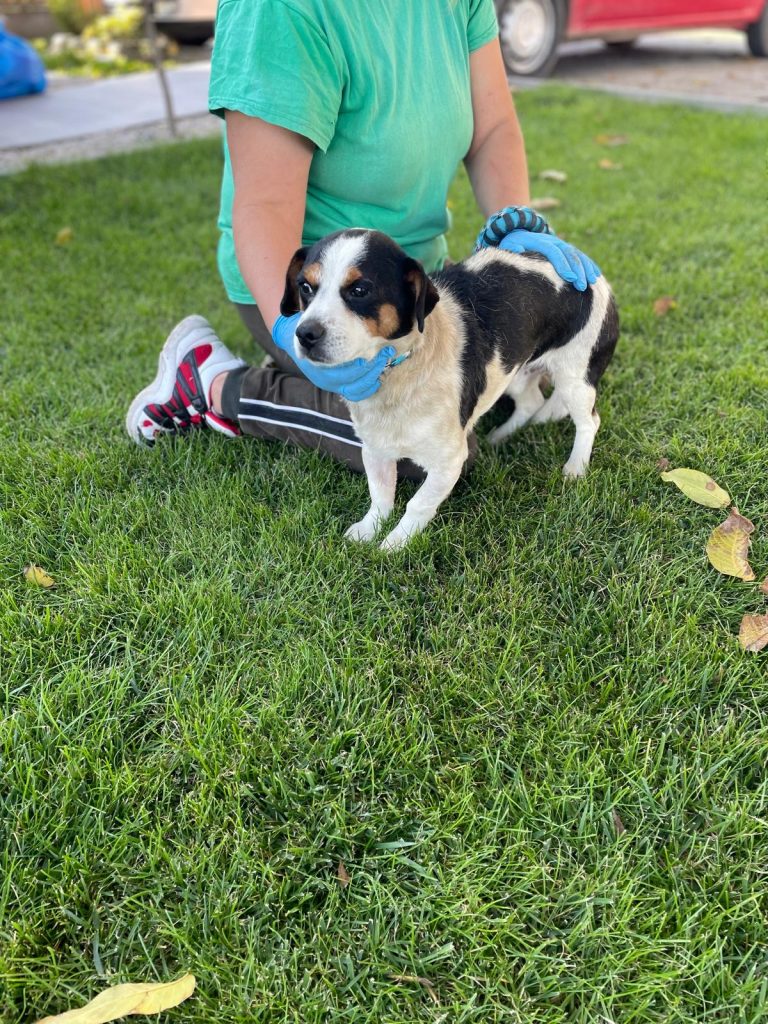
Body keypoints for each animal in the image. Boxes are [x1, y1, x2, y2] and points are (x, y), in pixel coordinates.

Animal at [280, 230, 618, 552]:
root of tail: (595, 273)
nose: (304, 334)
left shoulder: (450, 460)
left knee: (589, 421)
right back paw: (501, 436)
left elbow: (417, 504)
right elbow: (381, 494)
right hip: (512, 368)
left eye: (360, 290)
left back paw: (576, 467)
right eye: (305, 287)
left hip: (574, 376)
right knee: (532, 401)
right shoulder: (375, 447)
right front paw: (368, 530)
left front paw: (394, 544)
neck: (399, 372)